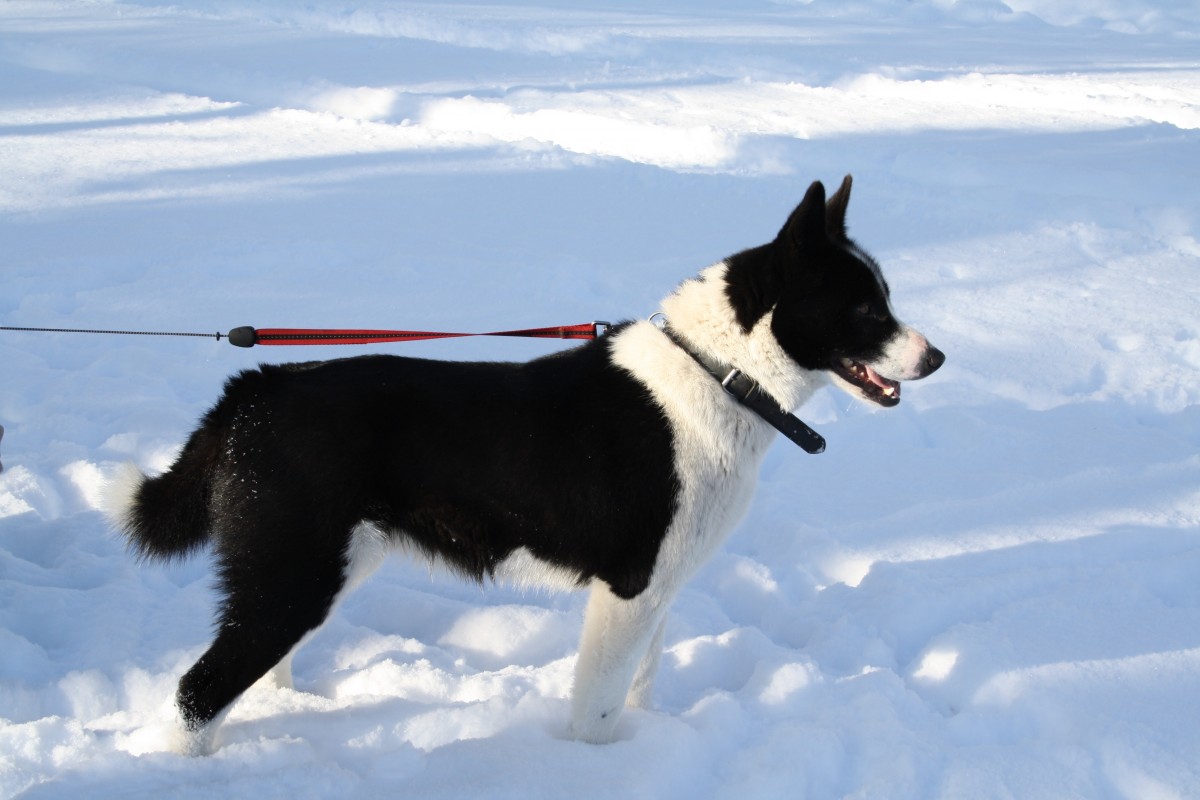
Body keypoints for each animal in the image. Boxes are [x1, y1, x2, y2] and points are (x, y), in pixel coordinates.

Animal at [105, 176, 945, 758]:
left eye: (887, 298)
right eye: (868, 310)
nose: (936, 357)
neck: (717, 374)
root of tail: (256, 388)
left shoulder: (659, 591)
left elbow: (639, 689)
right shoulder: (628, 590)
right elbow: (597, 712)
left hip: (306, 573)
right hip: (294, 578)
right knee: (197, 691)